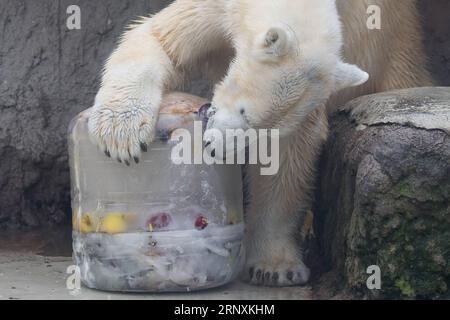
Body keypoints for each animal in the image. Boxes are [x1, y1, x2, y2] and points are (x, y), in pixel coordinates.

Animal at [87, 0, 432, 284]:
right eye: (244, 112)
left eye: (263, 130)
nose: (215, 149)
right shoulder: (219, 10)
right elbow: (162, 39)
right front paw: (120, 133)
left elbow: (288, 155)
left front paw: (274, 267)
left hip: (397, 53)